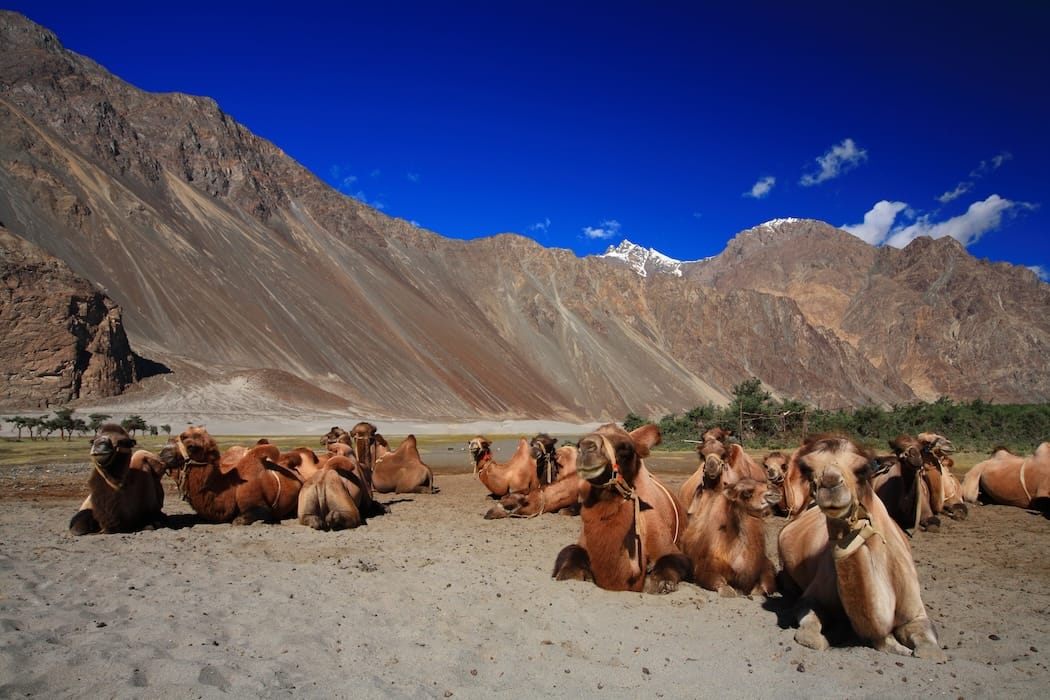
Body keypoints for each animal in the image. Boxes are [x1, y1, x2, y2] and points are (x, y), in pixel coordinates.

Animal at [552, 423, 690, 594]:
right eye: (579, 443)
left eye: (626, 448)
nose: (586, 446)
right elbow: (570, 555)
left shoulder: (666, 545)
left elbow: (672, 562)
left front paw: (662, 584)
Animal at [777, 435, 946, 661]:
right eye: (807, 468)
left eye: (863, 468)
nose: (830, 484)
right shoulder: (811, 598)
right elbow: (811, 637)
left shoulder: (917, 612)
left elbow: (928, 650)